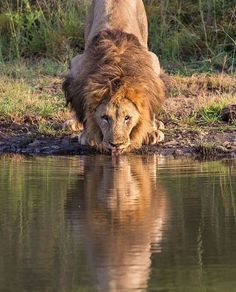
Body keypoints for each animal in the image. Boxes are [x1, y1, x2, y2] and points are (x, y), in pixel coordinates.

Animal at [63, 0, 165, 154]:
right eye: (105, 118)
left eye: (127, 118)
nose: (116, 145)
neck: (117, 69)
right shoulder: (77, 67)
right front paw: (88, 135)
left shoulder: (152, 63)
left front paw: (150, 133)